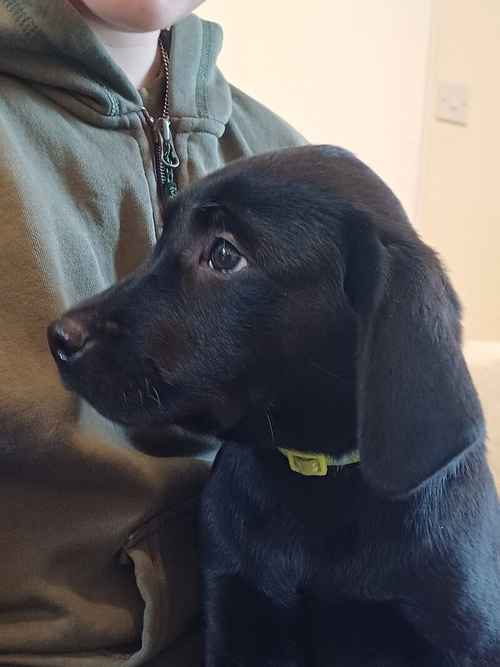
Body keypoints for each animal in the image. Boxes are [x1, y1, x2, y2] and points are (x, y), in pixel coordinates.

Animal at [47, 147, 500, 667]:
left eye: (224, 254)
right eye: (162, 239)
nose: (58, 337)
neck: (313, 481)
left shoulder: (460, 632)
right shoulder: (236, 608)